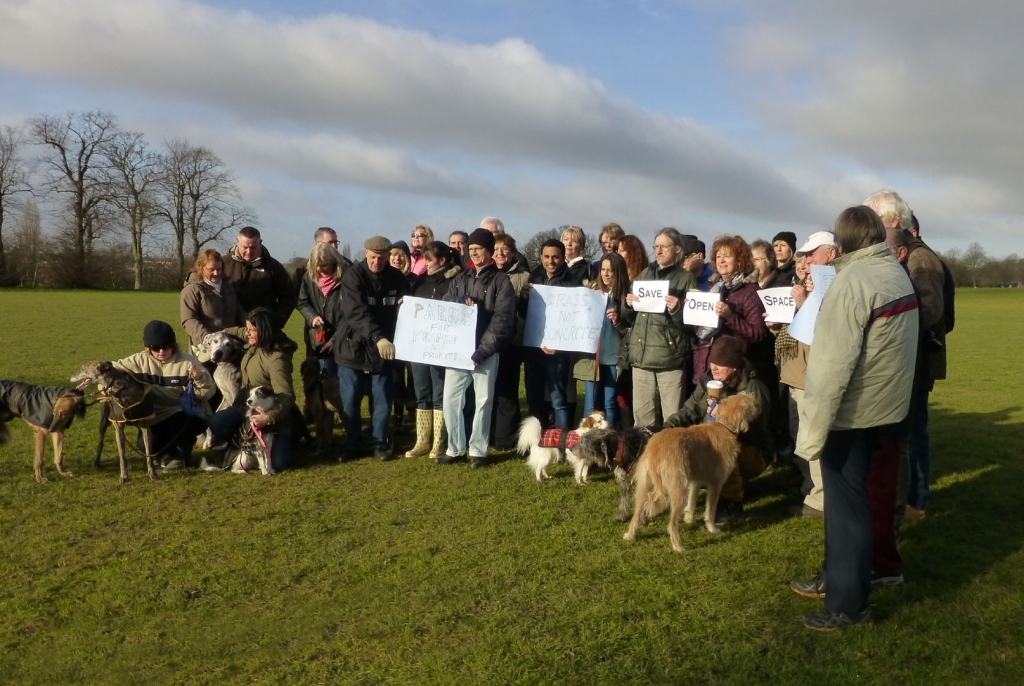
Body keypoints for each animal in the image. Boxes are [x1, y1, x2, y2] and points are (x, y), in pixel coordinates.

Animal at [618, 393, 757, 552]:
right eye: (749, 403)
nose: (755, 399)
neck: (723, 426)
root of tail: (657, 451)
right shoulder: (715, 484)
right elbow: (710, 510)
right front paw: (712, 529)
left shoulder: (696, 481)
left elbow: (692, 501)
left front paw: (689, 519)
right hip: (678, 491)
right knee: (671, 524)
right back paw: (678, 547)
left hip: (643, 488)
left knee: (636, 515)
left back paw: (630, 535)